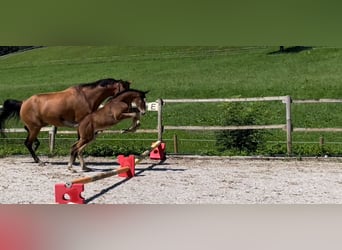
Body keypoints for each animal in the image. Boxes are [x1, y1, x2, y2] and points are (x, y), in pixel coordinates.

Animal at [0, 78, 131, 164]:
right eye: (125, 90)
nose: (128, 108)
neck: (86, 97)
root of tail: (23, 103)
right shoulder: (81, 124)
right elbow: (80, 140)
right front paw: (75, 158)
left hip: (37, 126)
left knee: (28, 136)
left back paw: (36, 149)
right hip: (35, 127)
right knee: (27, 143)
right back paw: (39, 160)